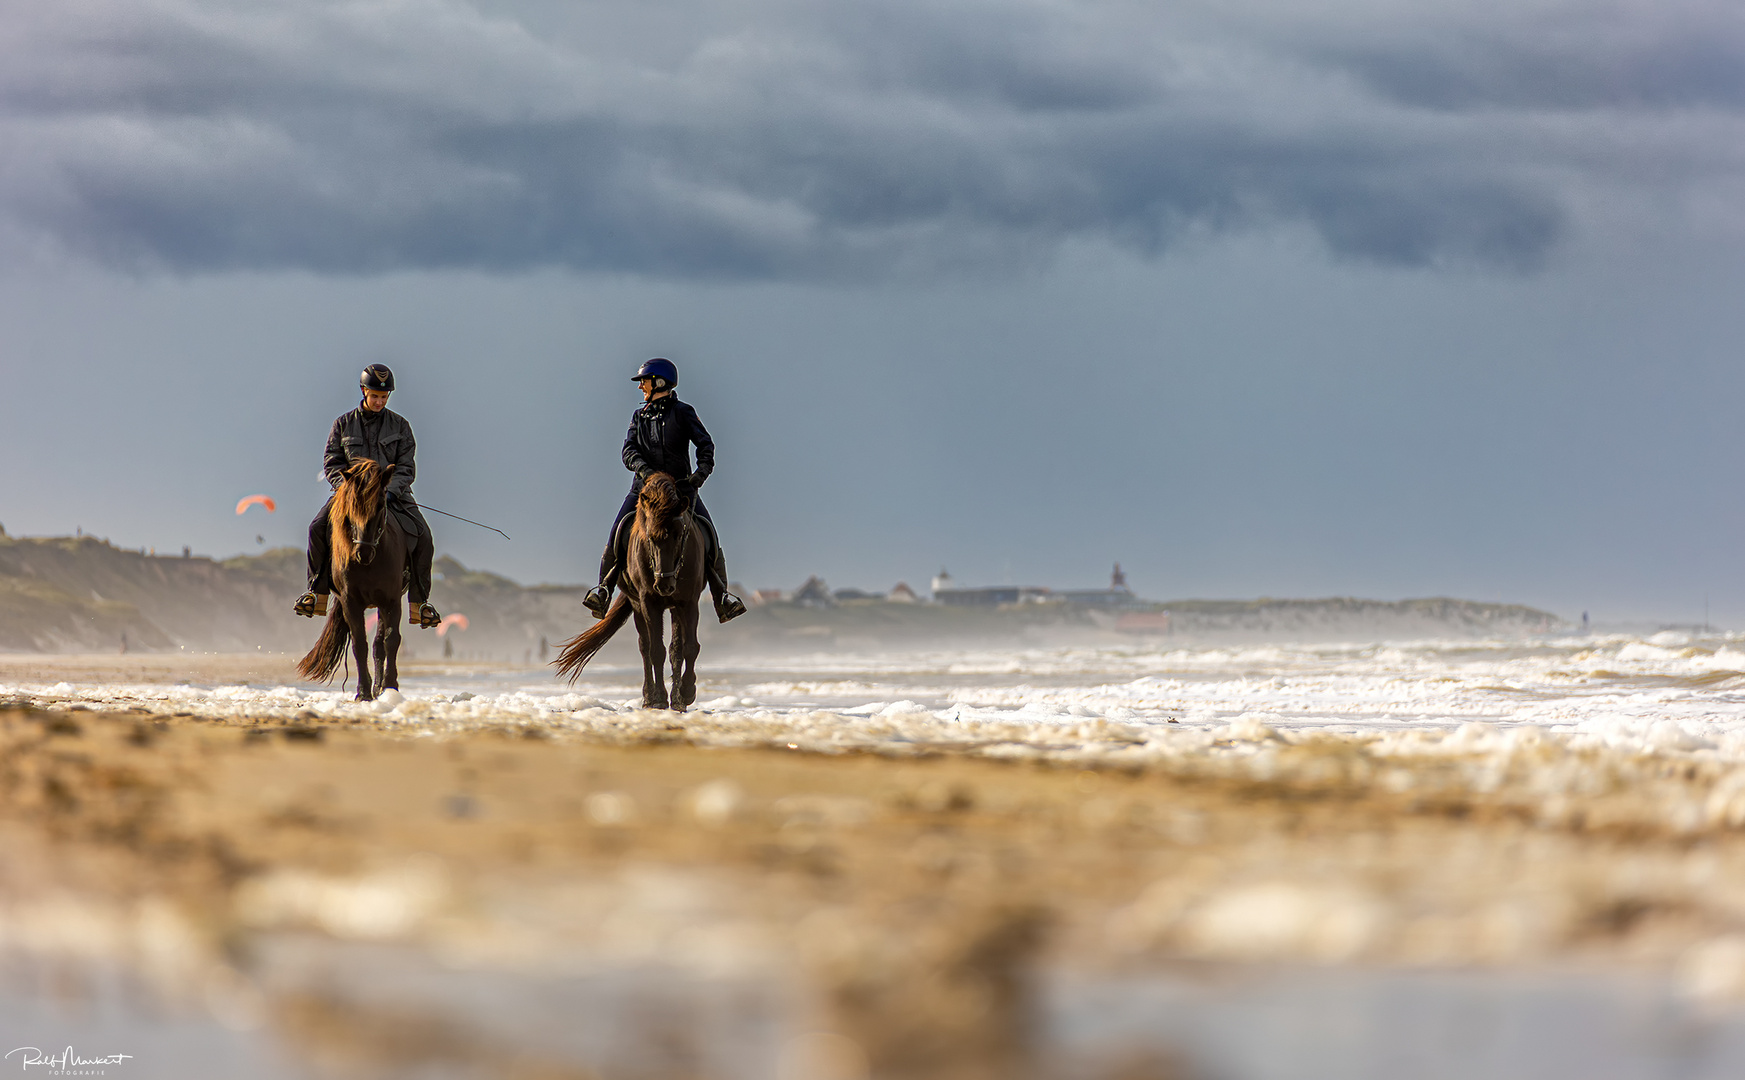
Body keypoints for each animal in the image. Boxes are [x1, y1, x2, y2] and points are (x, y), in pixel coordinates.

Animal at [300, 457, 411, 701]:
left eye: (380, 505)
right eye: (351, 506)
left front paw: (390, 686)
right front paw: (363, 692)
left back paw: (380, 687)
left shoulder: (391, 600)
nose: (363, 552)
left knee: (380, 644)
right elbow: (359, 644)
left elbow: (391, 640)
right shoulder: (350, 602)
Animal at [551, 474, 701, 708]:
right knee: (645, 647)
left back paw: (677, 700)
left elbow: (690, 647)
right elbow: (656, 651)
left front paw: (687, 692)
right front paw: (659, 699)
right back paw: (650, 698)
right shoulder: (648, 602)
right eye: (650, 537)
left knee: (676, 649)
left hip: (675, 607)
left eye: (679, 535)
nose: (664, 585)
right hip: (637, 604)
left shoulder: (689, 601)